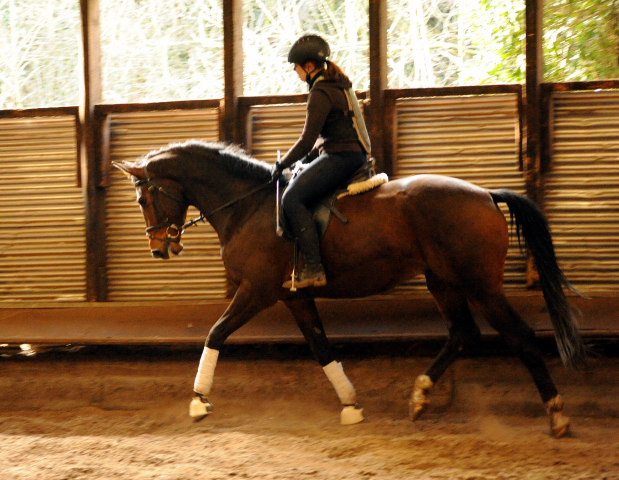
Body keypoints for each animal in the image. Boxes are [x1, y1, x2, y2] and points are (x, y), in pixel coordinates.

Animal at [112, 140, 588, 438]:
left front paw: (198, 400)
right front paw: (351, 407)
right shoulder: (294, 296)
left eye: (143, 199)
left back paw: (557, 416)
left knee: (520, 337)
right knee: (462, 333)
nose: (159, 248)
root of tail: (486, 194)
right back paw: (419, 396)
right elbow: (322, 348)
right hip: (443, 280)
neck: (248, 206)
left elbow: (215, 333)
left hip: (480, 284)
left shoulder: (258, 290)